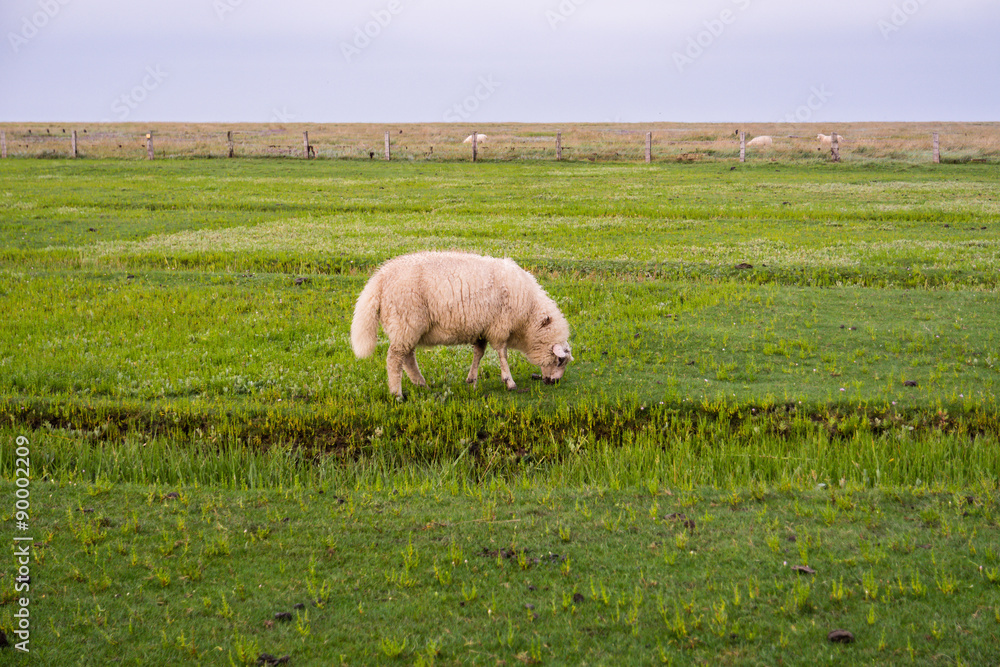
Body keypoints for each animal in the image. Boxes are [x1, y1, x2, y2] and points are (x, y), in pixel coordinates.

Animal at [351, 251, 572, 399]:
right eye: (560, 361)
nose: (554, 382)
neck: (528, 316)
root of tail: (379, 277)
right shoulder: (499, 326)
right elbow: (502, 354)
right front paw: (509, 382)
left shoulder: (482, 328)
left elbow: (479, 353)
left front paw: (471, 380)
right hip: (405, 322)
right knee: (394, 358)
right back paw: (397, 394)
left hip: (405, 327)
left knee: (407, 358)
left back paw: (421, 384)